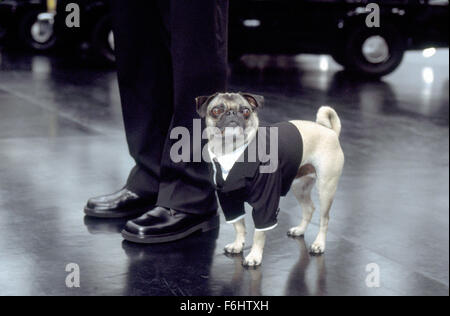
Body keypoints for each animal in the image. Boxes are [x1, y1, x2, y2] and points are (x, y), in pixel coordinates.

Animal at [196, 92, 344, 268]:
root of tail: (330, 131)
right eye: (217, 110)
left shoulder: (265, 204)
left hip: (326, 188)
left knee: (324, 218)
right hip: (299, 186)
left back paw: (319, 244)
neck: (230, 151)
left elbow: (259, 234)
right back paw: (300, 230)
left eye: (245, 111)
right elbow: (239, 226)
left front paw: (254, 256)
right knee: (309, 209)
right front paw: (238, 245)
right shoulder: (229, 200)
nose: (232, 113)